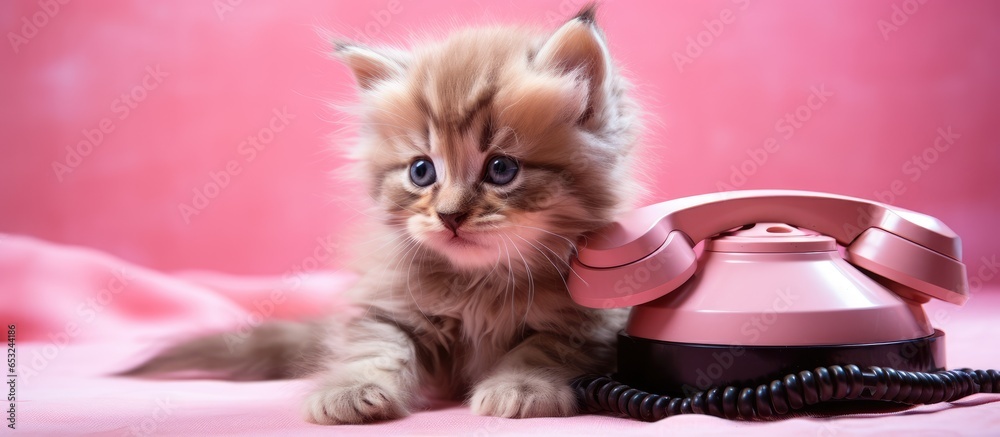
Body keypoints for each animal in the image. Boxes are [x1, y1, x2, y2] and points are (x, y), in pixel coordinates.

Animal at [125, 5, 644, 424]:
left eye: (501, 169)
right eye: (421, 170)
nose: (450, 216)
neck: (480, 285)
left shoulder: (592, 323)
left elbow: (541, 348)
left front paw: (519, 386)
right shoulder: (386, 302)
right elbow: (376, 346)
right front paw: (351, 392)